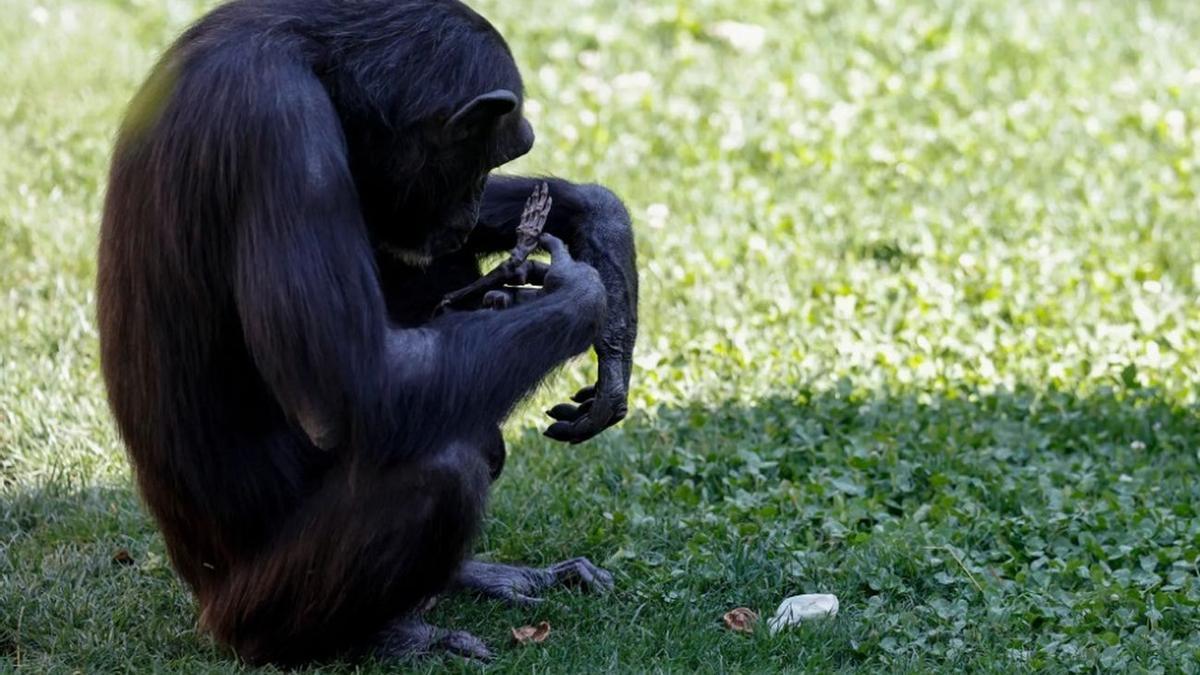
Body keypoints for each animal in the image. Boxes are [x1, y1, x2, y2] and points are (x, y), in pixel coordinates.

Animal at [96, 0, 638, 662]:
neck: (315, 58)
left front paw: (603, 236)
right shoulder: (281, 130)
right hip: (251, 606)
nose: (468, 209)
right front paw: (581, 293)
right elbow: (358, 383)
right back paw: (390, 633)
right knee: (442, 471)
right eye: (482, 157)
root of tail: (203, 603)